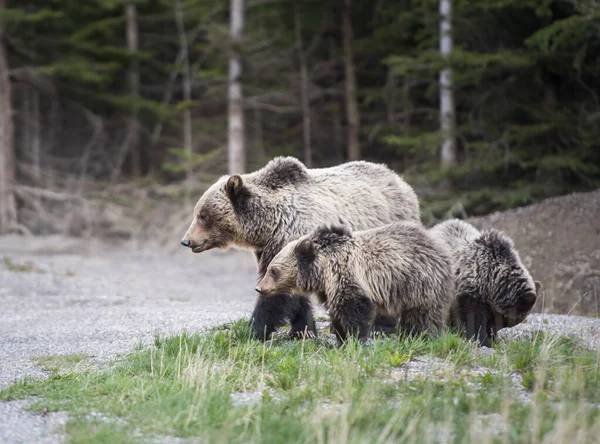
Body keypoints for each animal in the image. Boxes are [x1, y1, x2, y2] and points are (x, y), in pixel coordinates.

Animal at [180, 156, 420, 340]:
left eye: (203, 215)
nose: (186, 241)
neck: (270, 225)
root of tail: (400, 180)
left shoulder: (293, 237)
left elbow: (277, 294)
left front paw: (253, 331)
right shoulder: (271, 248)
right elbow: (289, 288)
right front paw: (301, 330)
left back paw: (382, 327)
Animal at [254, 222, 454, 344]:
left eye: (274, 270)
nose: (260, 288)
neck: (322, 270)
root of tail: (438, 246)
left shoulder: (347, 274)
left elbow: (353, 308)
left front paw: (353, 338)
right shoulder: (329, 288)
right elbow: (337, 310)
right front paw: (340, 336)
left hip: (420, 282)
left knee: (422, 315)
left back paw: (420, 336)